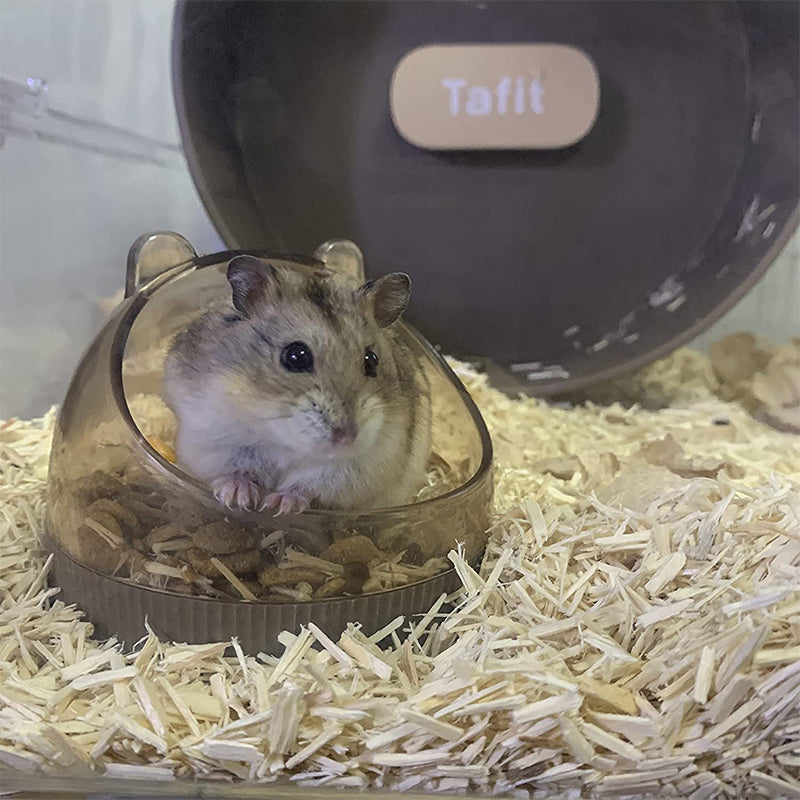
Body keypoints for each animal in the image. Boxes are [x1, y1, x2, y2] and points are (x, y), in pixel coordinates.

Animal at [162, 255, 432, 514]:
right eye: (296, 357)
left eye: (372, 360)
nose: (347, 437)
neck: (282, 441)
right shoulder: (214, 439)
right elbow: (236, 470)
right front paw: (237, 497)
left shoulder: (357, 466)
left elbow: (307, 485)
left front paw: (278, 504)